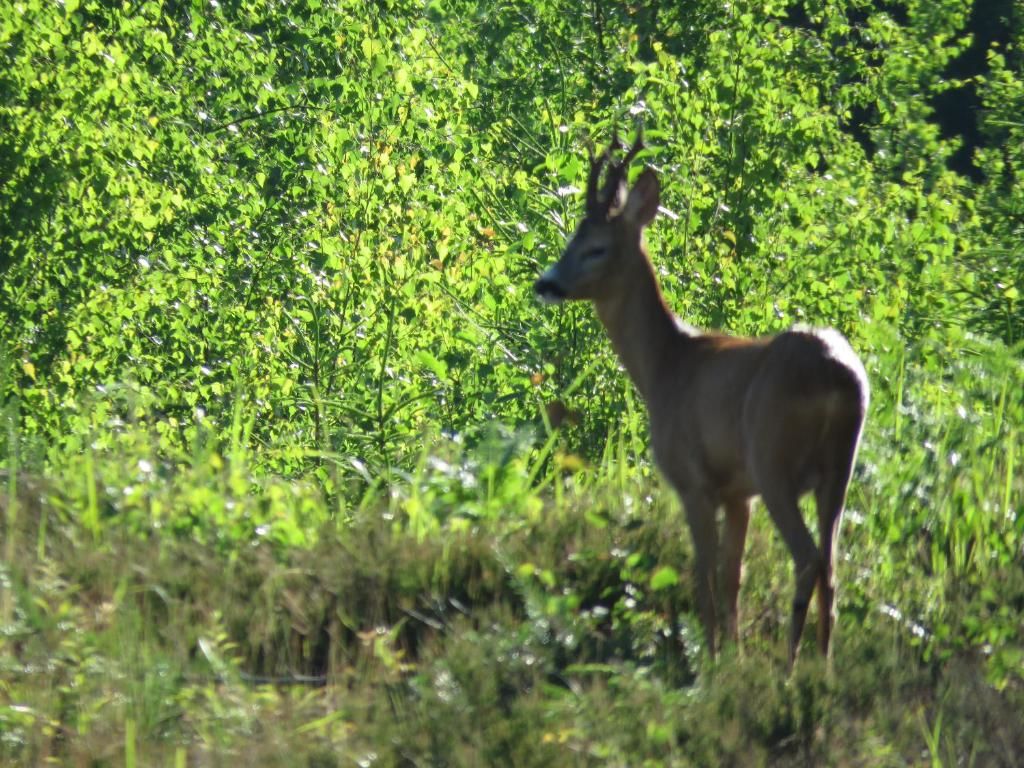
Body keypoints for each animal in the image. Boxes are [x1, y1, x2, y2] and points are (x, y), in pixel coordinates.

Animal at [532, 134, 868, 667]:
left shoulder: (693, 480)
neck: (665, 366)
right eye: (571, 240)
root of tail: (836, 375)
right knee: (832, 567)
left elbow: (703, 577)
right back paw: (825, 666)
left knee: (807, 558)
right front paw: (733, 655)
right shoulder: (737, 492)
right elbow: (732, 578)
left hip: (773, 459)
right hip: (839, 469)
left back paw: (790, 667)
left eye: (595, 248)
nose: (546, 283)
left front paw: (710, 661)